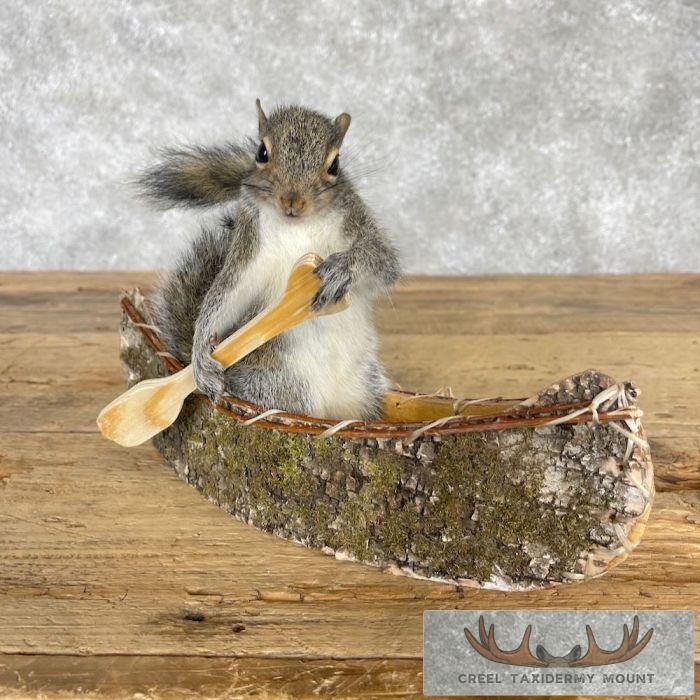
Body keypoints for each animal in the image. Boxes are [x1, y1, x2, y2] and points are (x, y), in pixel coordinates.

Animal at [139, 100, 400, 420]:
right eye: (261, 153)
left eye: (334, 165)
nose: (293, 200)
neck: (297, 225)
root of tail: (330, 410)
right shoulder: (250, 251)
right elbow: (227, 296)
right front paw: (200, 356)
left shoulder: (356, 221)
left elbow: (383, 262)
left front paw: (341, 268)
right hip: (278, 384)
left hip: (365, 387)